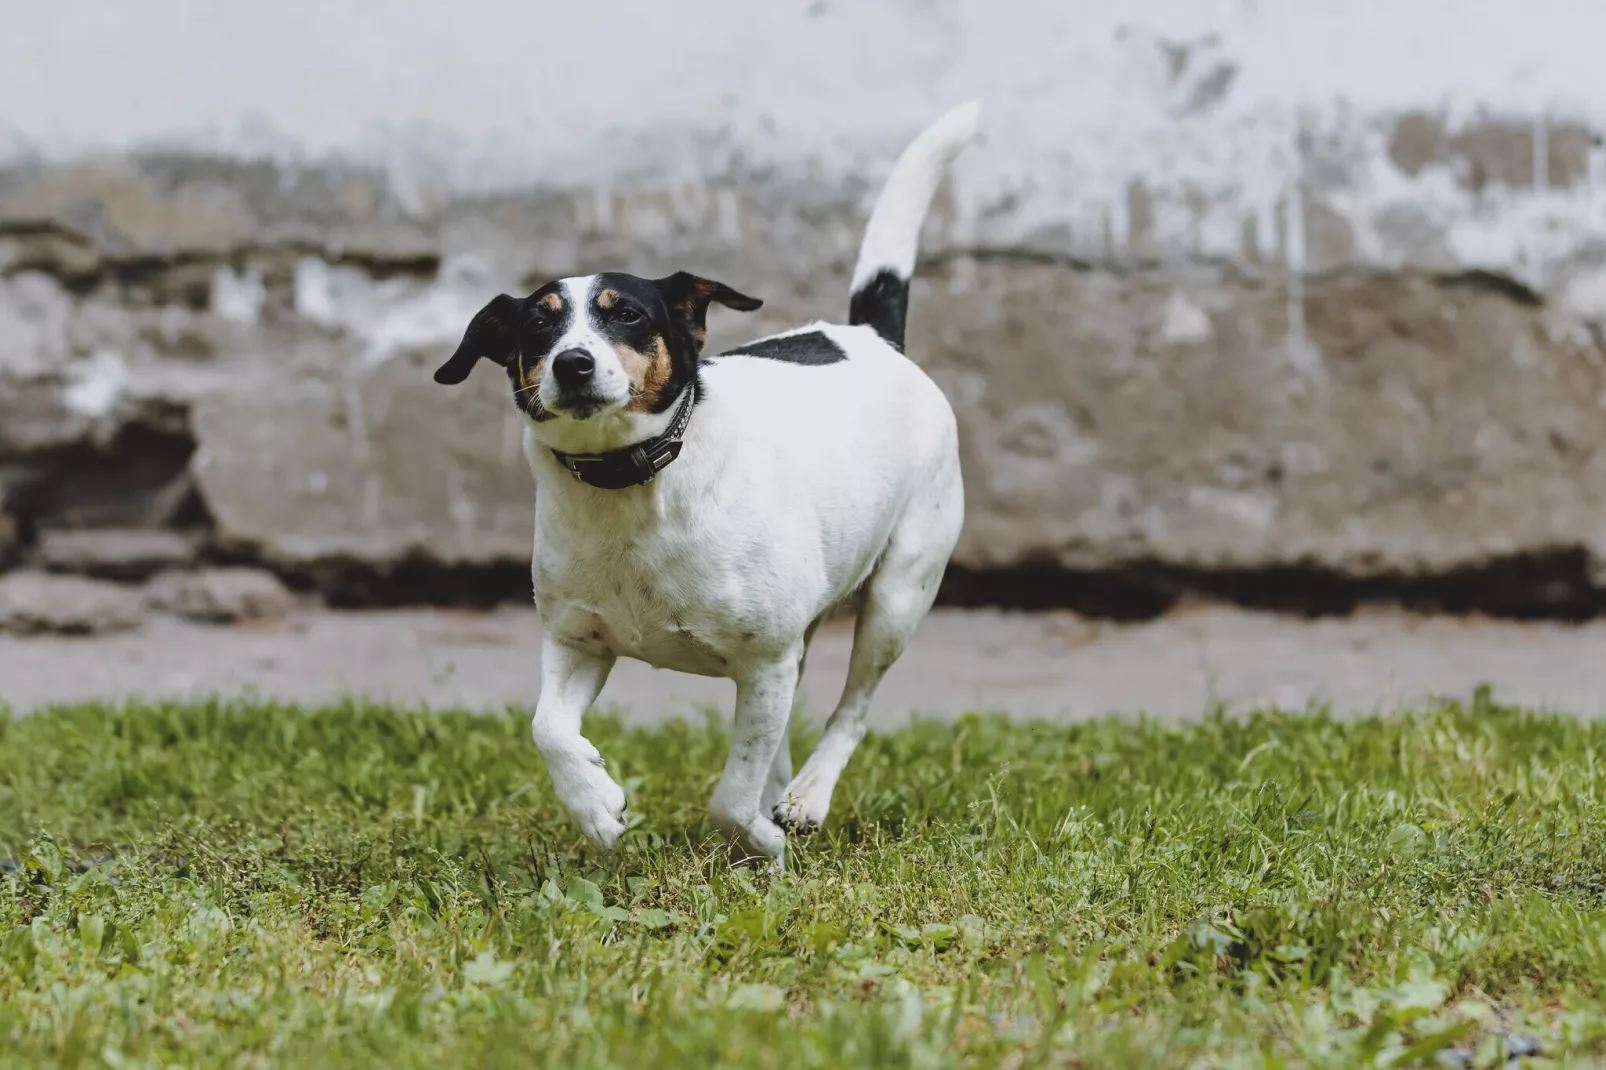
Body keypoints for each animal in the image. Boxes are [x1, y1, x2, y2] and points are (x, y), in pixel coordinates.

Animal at [430, 102, 976, 867]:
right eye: (538, 323)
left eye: (626, 313)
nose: (572, 363)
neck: (632, 484)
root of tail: (872, 337)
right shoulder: (578, 642)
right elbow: (546, 728)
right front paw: (595, 805)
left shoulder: (767, 661)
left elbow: (730, 796)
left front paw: (759, 838)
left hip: (901, 593)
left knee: (853, 707)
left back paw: (806, 798)